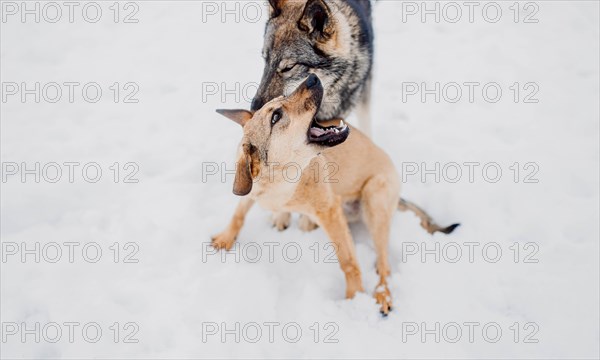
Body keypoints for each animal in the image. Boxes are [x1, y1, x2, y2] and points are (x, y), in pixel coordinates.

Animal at [213, 74, 458, 314]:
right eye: (276, 116)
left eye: (282, 100)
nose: (312, 77)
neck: (282, 180)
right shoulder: (251, 192)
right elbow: (239, 214)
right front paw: (225, 238)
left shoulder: (330, 213)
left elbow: (348, 261)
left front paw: (355, 297)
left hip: (373, 199)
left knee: (383, 264)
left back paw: (382, 294)